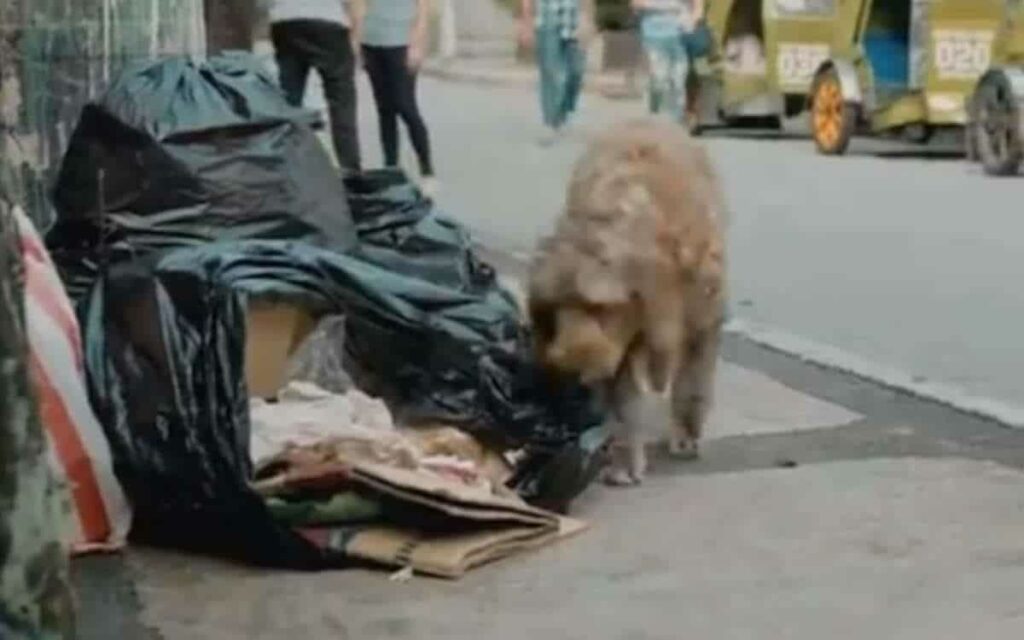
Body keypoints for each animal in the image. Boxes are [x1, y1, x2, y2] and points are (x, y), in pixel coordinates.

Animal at [528, 118, 729, 483]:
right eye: (557, 309)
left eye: (600, 307)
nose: (571, 361)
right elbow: (624, 393)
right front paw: (622, 453)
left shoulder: (691, 310)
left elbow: (695, 365)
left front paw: (686, 430)